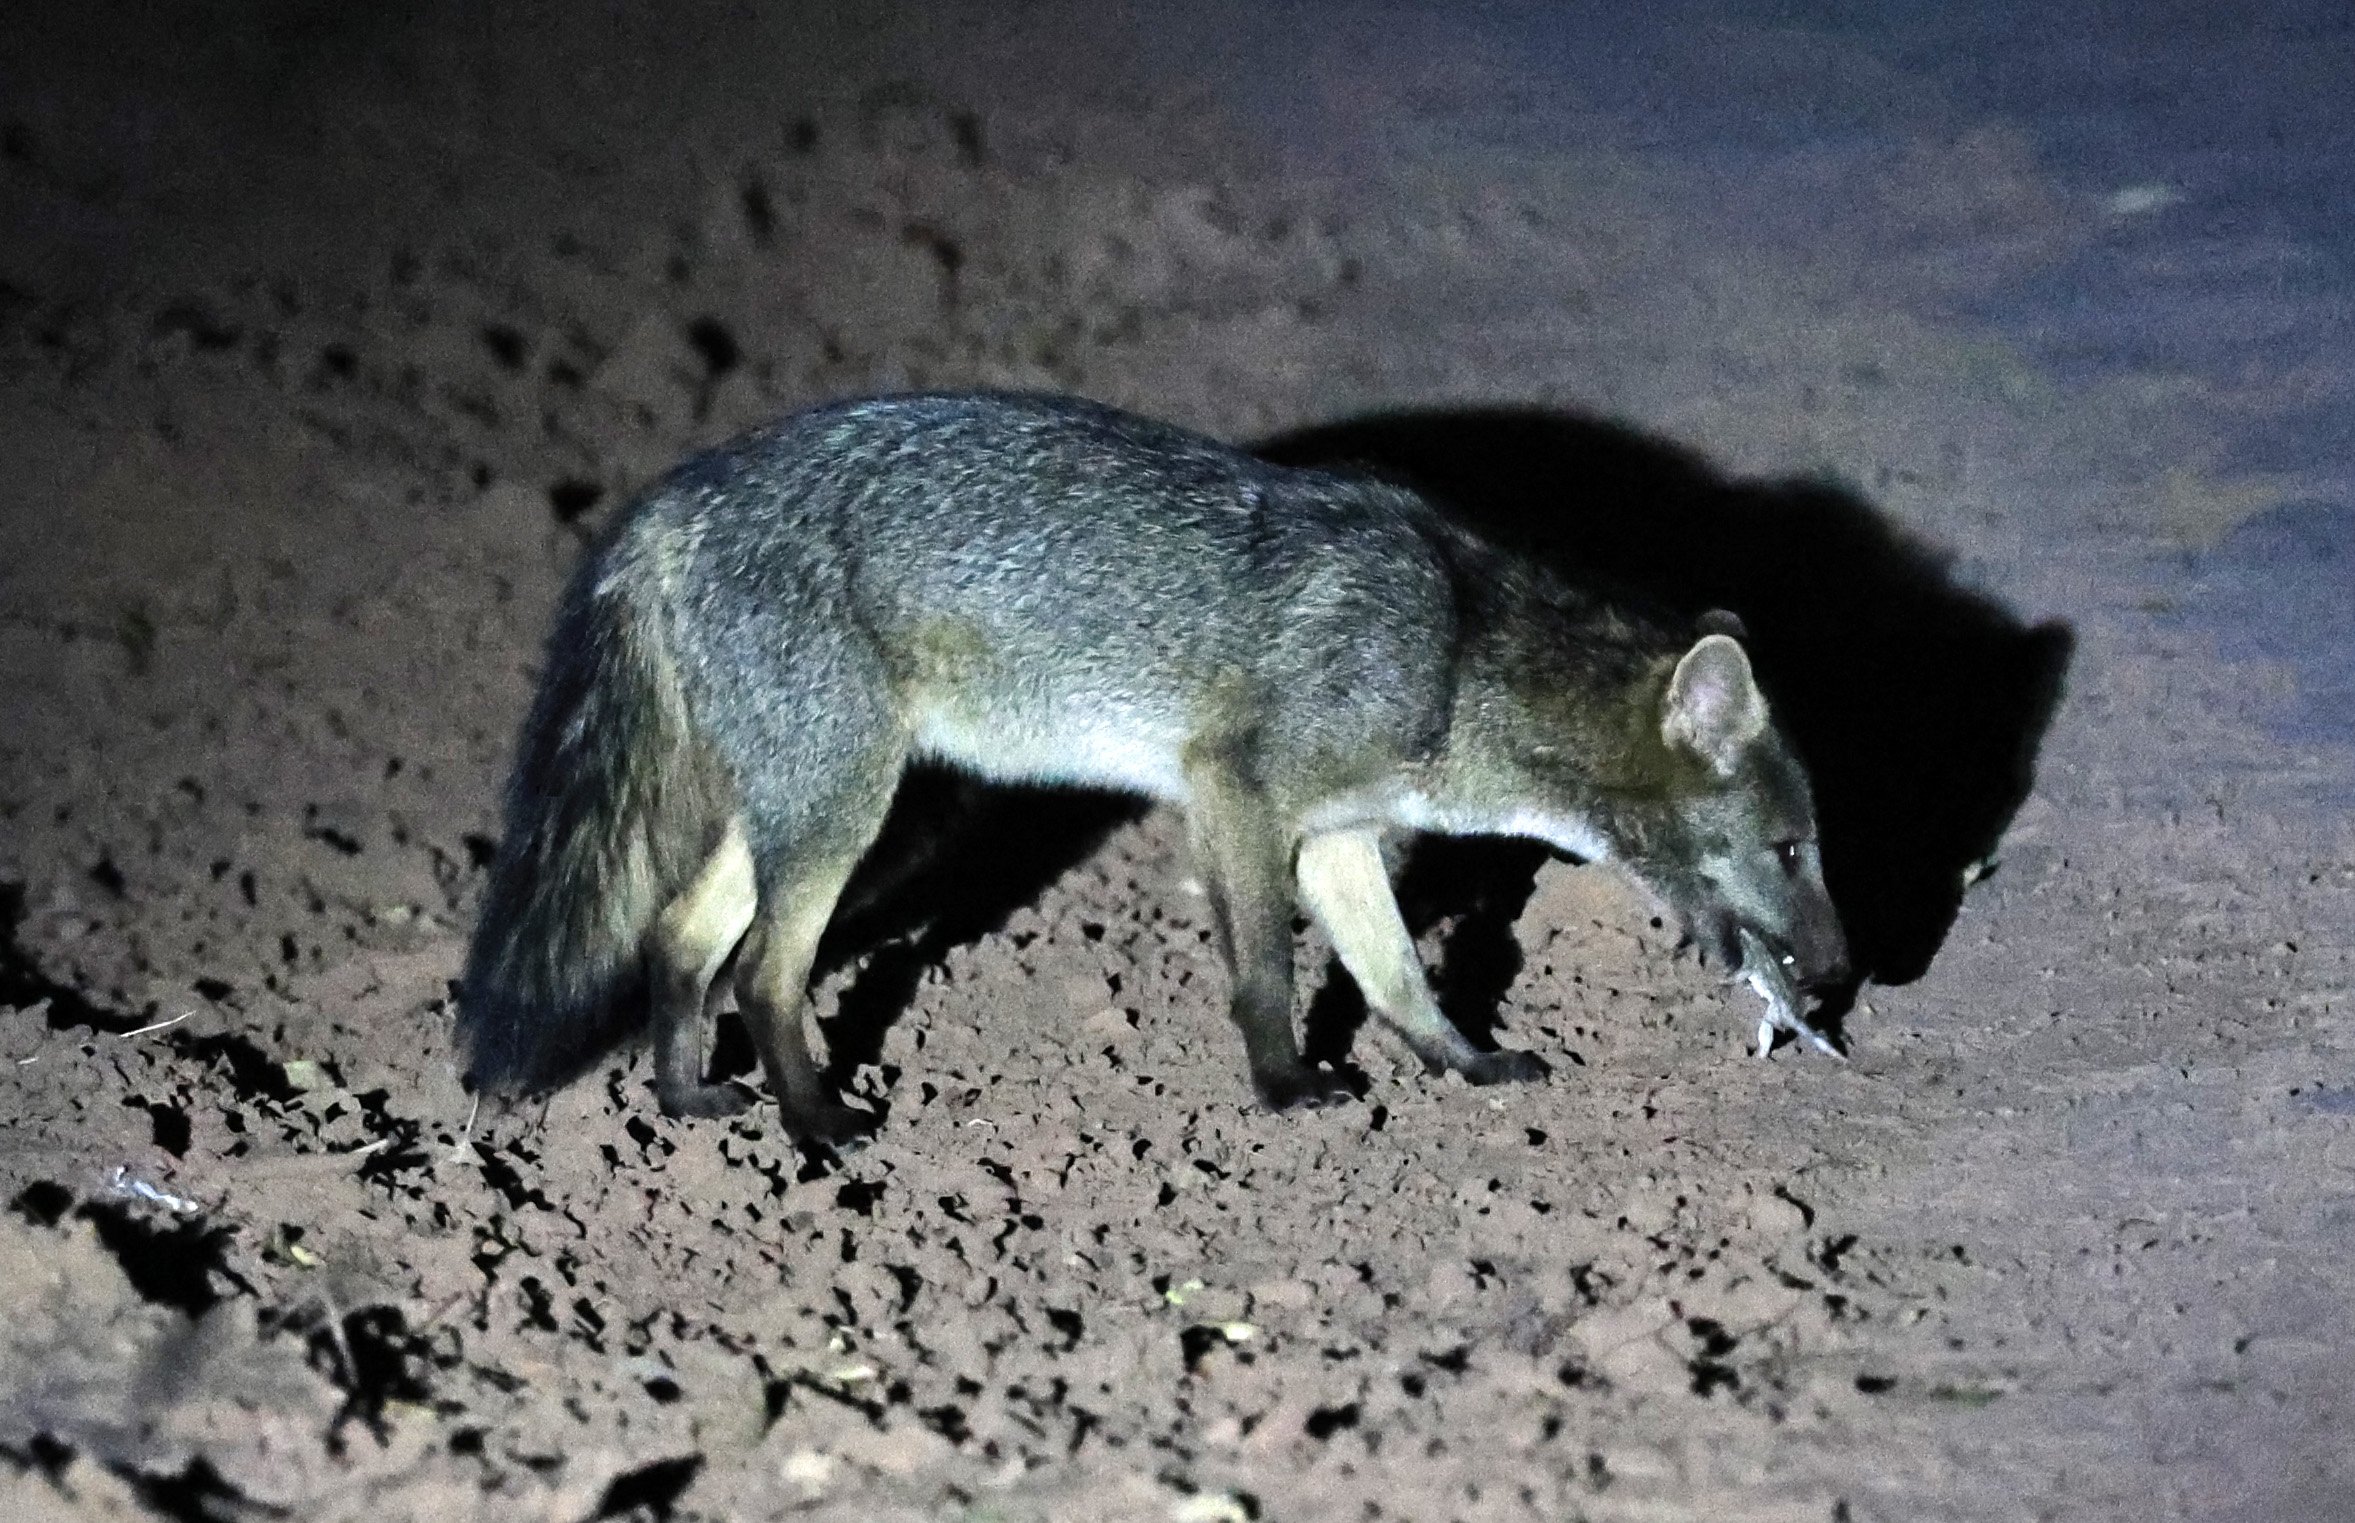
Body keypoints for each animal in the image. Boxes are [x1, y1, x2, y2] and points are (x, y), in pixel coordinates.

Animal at [458, 392, 1849, 1144]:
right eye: (1793, 847)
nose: (1846, 977)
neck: (1455, 642)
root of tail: (668, 502)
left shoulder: (1339, 835)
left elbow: (1400, 975)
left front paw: (1463, 1063)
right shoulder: (1237, 792)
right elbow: (1267, 973)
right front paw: (1284, 1089)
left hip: (796, 810)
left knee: (679, 940)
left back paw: (687, 1100)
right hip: (845, 811)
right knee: (762, 970)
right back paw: (821, 1123)